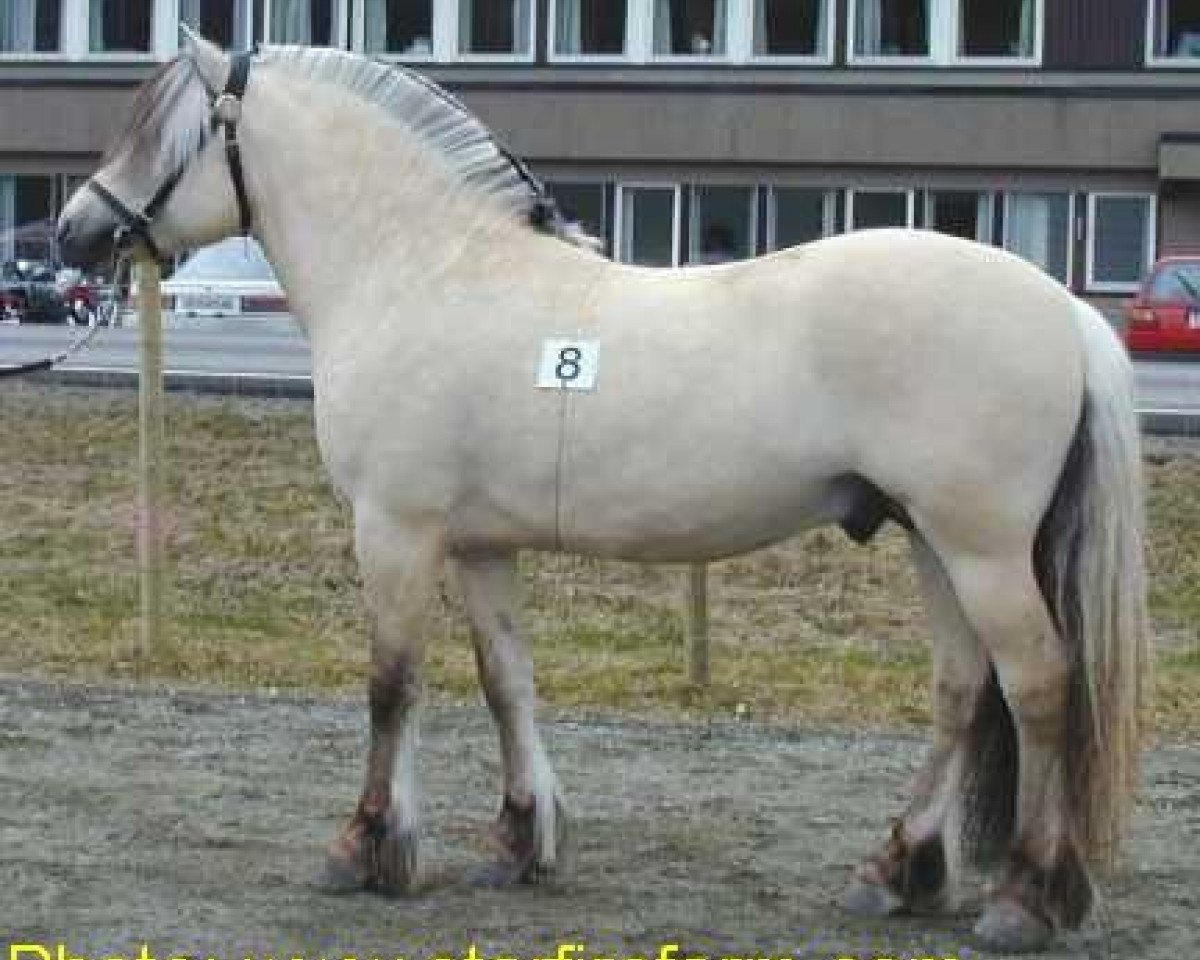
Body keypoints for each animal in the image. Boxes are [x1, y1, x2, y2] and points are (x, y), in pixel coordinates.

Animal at [57, 31, 1149, 953]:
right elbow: (506, 680)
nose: (72, 233)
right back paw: (896, 871)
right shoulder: (479, 544)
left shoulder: (395, 530)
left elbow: (391, 685)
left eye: (162, 132)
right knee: (964, 689)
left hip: (981, 549)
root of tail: (1062, 309)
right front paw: (517, 843)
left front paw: (366, 848)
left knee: (1039, 687)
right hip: (930, 540)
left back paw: (1021, 899)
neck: (424, 270)